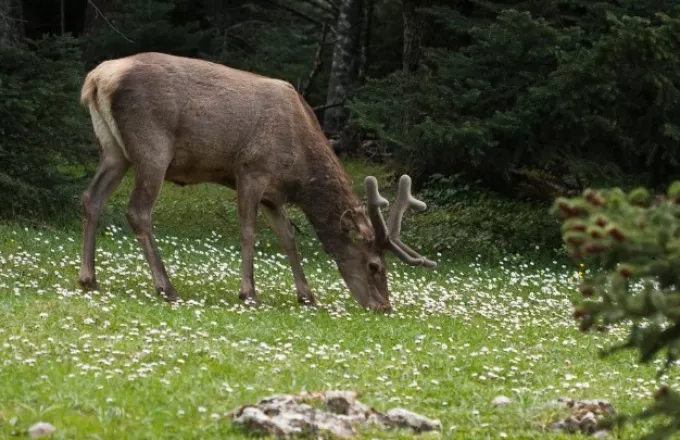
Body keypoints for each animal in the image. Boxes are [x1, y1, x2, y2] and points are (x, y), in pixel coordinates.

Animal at [75, 52, 436, 312]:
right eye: (375, 266)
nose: (384, 306)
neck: (301, 169)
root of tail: (96, 78)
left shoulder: (274, 194)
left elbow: (288, 239)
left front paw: (307, 295)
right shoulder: (251, 170)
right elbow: (248, 231)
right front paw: (248, 292)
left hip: (113, 150)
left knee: (91, 197)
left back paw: (88, 278)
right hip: (152, 147)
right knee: (137, 211)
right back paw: (166, 287)